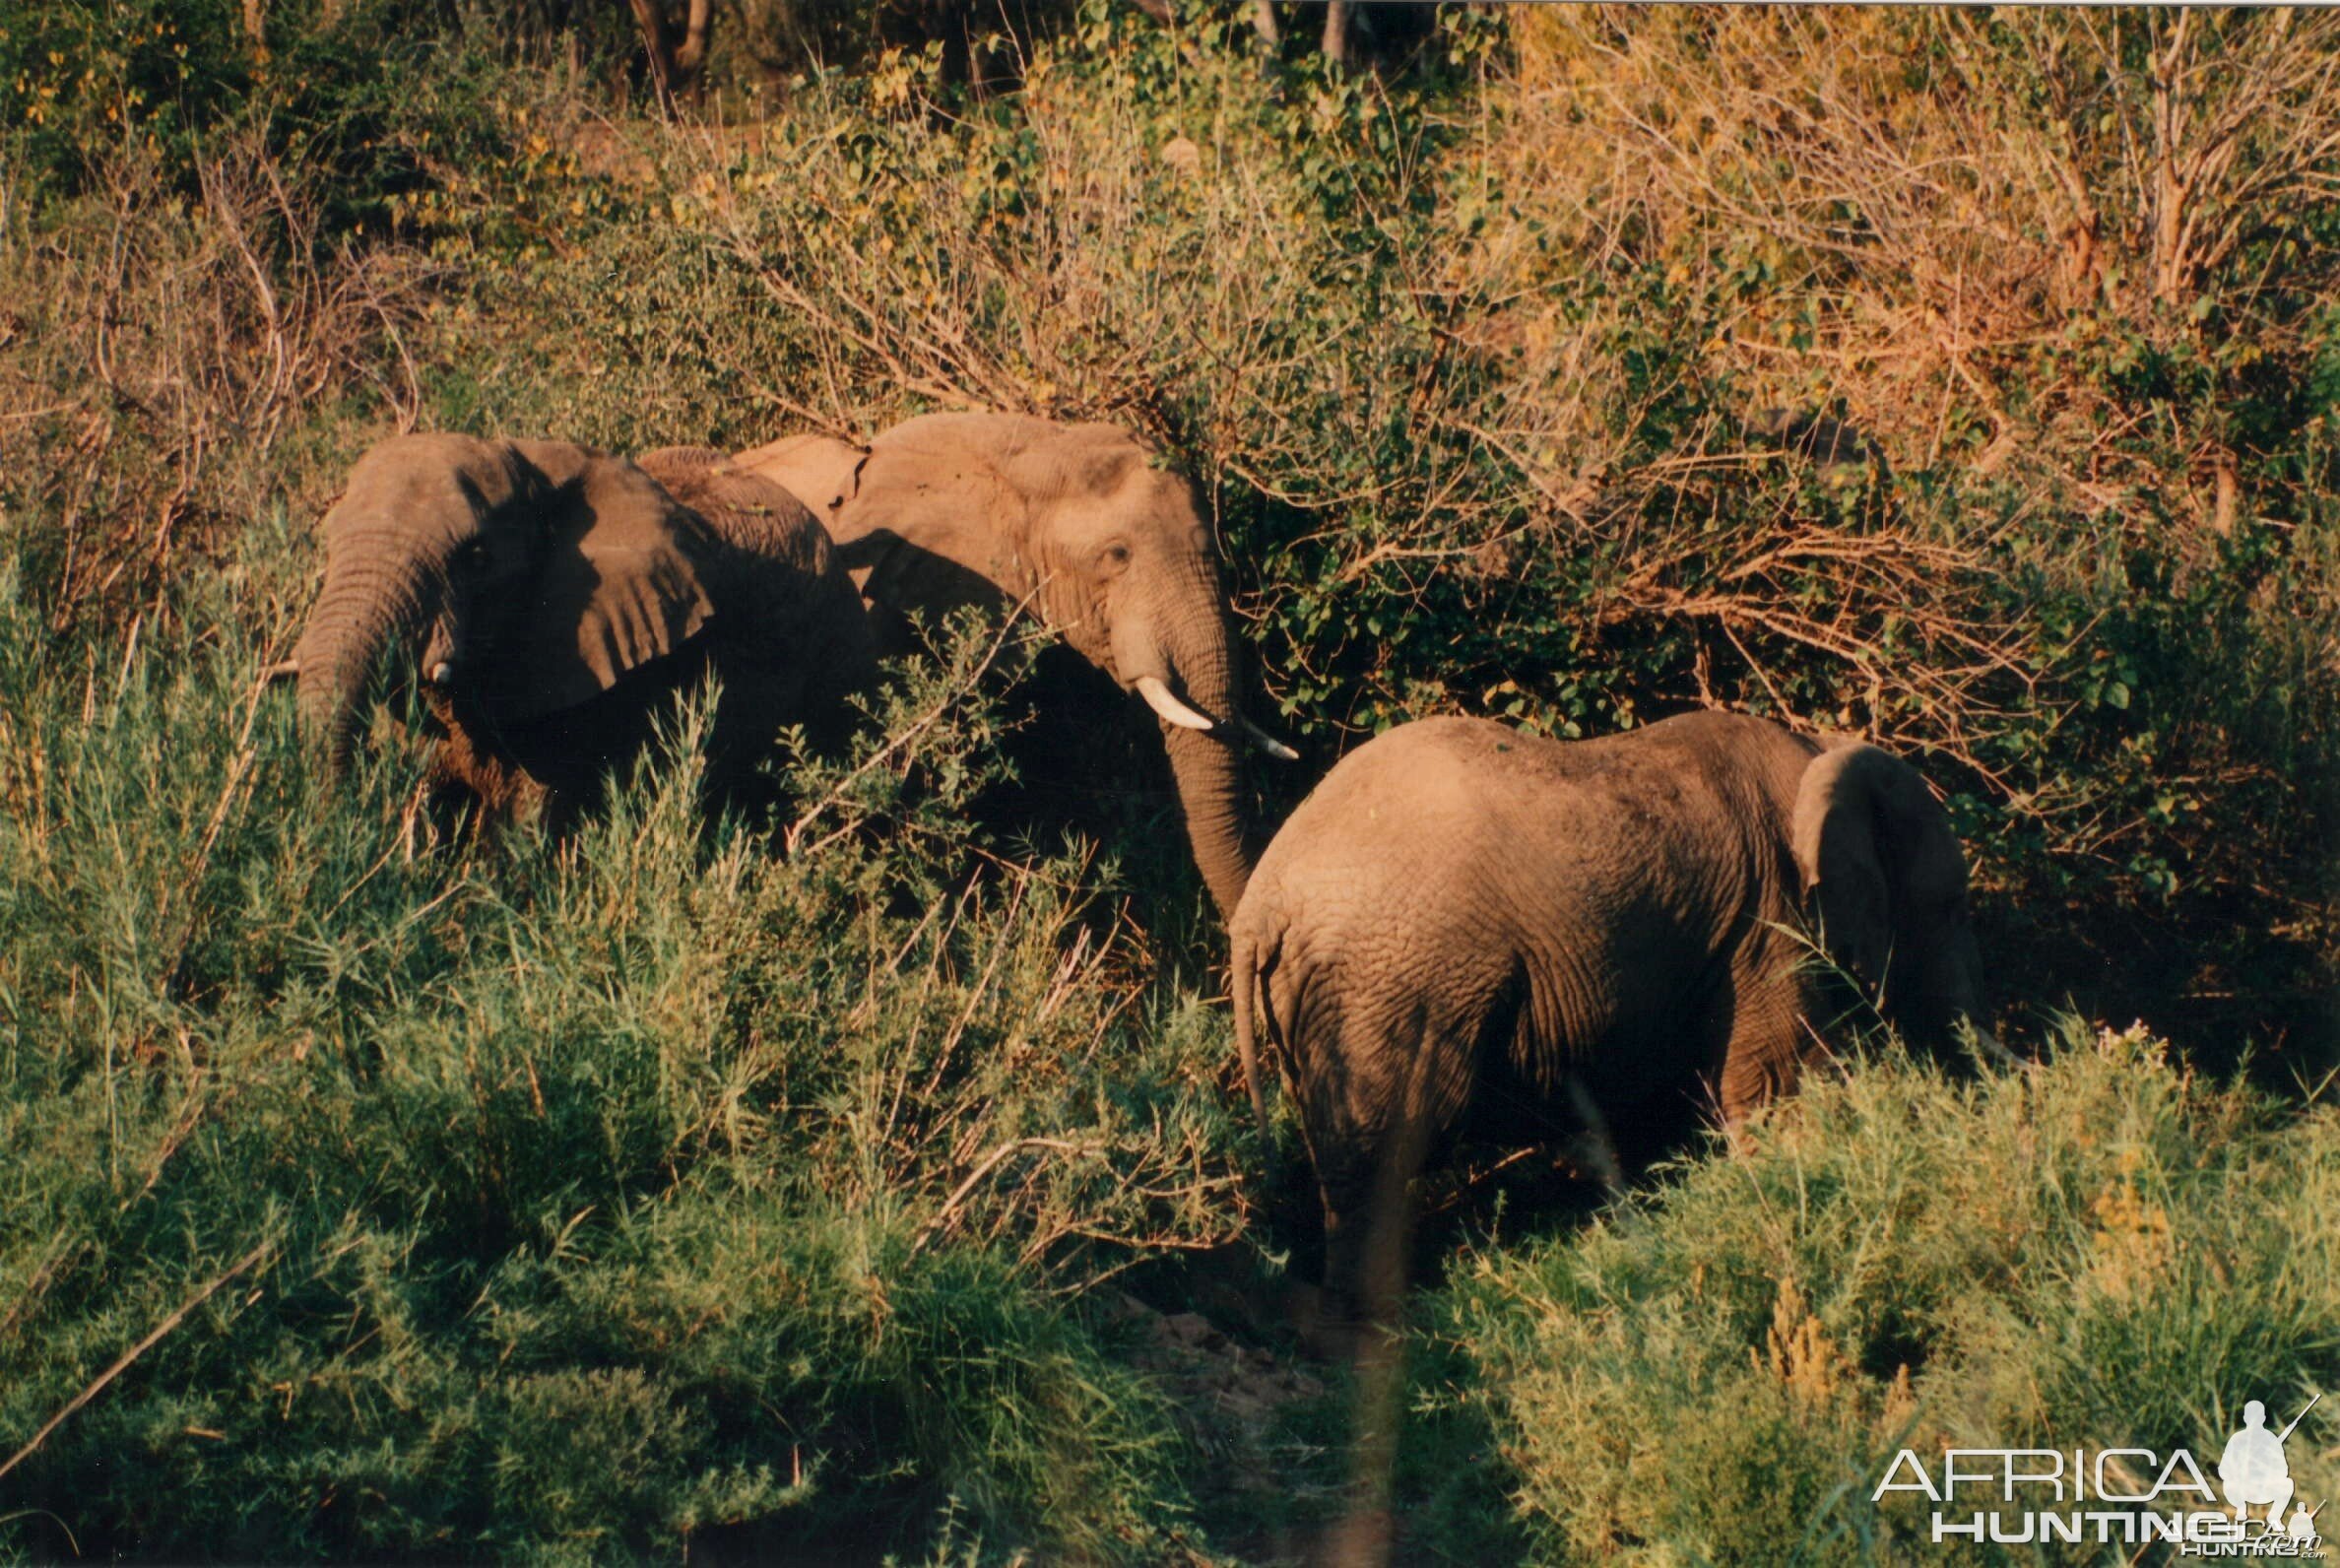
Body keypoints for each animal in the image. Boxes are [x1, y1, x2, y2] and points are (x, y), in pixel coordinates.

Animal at [1226, 711, 1993, 1339]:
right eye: (1954, 905)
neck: (1818, 750)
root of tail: (1263, 901)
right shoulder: (1772, 922)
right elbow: (1780, 1084)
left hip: (1330, 990)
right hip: (1392, 977)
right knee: (1392, 1137)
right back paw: (1369, 1333)